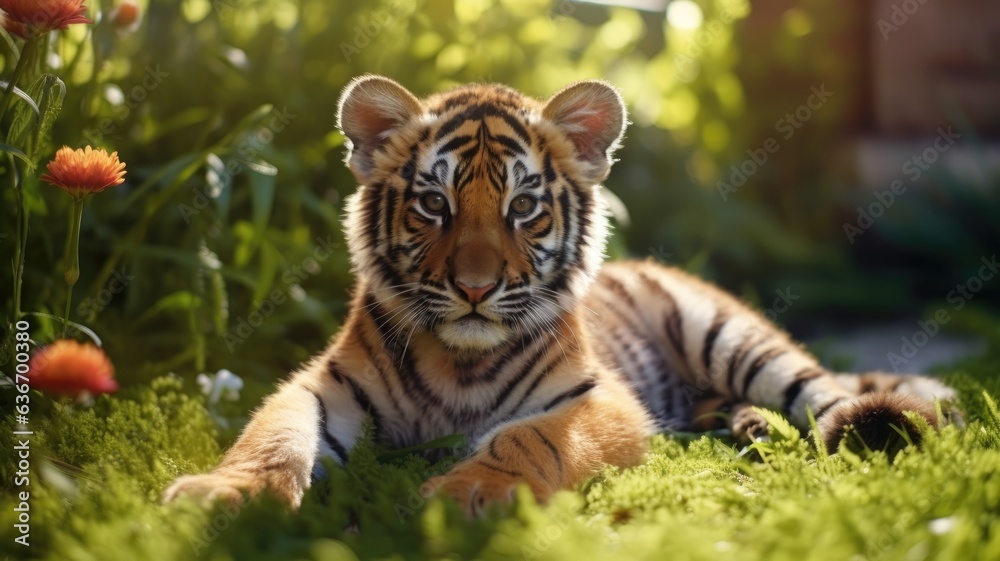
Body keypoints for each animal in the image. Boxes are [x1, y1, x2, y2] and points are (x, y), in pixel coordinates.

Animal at [163, 75, 956, 515]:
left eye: (523, 207)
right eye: (434, 205)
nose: (475, 286)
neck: (461, 362)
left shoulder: (598, 400)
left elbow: (527, 436)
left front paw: (467, 492)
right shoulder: (320, 386)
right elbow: (271, 437)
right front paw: (221, 495)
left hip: (730, 335)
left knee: (827, 393)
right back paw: (751, 427)